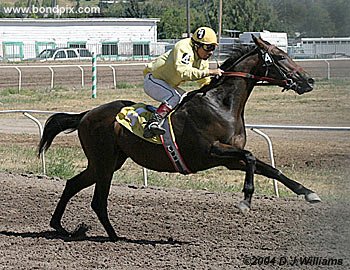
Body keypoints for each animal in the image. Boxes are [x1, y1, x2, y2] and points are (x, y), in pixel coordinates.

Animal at [37, 35, 320, 240]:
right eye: (280, 56)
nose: (309, 80)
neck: (221, 105)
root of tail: (86, 114)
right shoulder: (211, 151)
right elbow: (250, 157)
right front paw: (245, 201)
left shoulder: (230, 159)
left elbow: (271, 169)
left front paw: (308, 193)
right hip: (104, 162)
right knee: (98, 201)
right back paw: (113, 236)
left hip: (108, 162)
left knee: (73, 184)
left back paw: (63, 227)